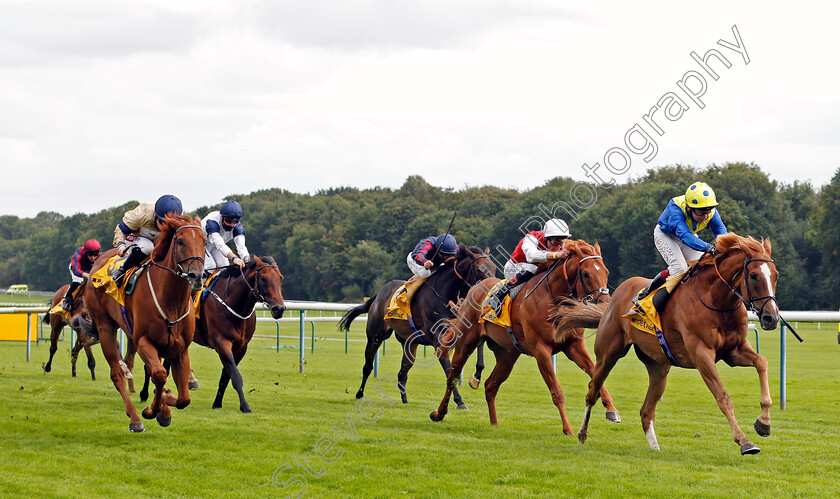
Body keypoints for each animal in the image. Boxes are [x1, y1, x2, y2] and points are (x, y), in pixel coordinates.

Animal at [80, 215, 205, 434]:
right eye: (180, 241)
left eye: (204, 242)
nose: (196, 276)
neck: (171, 302)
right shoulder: (143, 342)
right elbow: (159, 374)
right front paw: (152, 410)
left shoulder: (179, 349)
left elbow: (183, 398)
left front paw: (166, 403)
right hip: (105, 327)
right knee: (117, 373)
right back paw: (134, 418)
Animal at [338, 243, 496, 410]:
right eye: (478, 269)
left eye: (493, 268)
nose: (492, 290)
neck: (447, 294)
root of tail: (378, 294)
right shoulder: (438, 340)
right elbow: (449, 371)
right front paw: (460, 401)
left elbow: (479, 349)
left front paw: (476, 378)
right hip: (376, 336)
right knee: (368, 366)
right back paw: (360, 394)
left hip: (410, 344)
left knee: (402, 373)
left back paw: (404, 399)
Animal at [430, 239, 620, 434]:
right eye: (586, 273)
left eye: (606, 271)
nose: (605, 304)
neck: (552, 297)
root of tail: (473, 290)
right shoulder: (541, 350)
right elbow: (557, 392)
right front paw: (567, 428)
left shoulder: (574, 345)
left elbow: (594, 372)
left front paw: (611, 410)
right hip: (466, 342)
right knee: (452, 377)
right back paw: (440, 412)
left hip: (507, 355)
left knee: (490, 385)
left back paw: (494, 423)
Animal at [556, 234, 776, 458]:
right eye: (754, 276)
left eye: (775, 276)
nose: (771, 318)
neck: (716, 301)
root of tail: (614, 298)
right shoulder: (702, 355)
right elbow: (723, 398)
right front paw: (744, 441)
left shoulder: (734, 351)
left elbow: (762, 363)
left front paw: (764, 423)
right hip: (608, 354)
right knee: (592, 391)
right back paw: (582, 434)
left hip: (659, 367)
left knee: (646, 411)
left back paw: (655, 448)